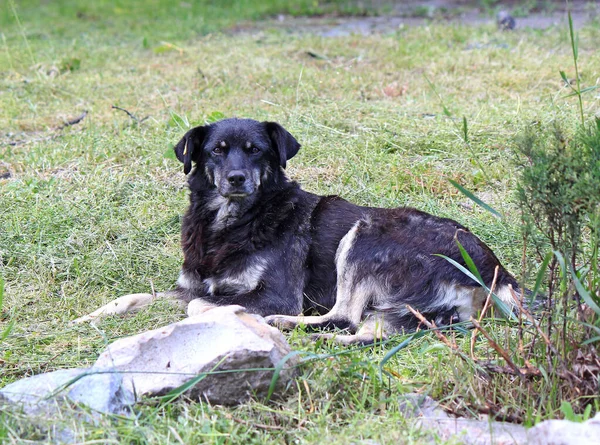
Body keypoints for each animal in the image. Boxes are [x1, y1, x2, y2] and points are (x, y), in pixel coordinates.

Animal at [76, 118, 520, 344]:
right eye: (217, 150)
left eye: (255, 150)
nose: (236, 178)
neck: (233, 222)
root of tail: (499, 275)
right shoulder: (193, 283)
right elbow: (133, 297)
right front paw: (88, 317)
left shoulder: (277, 293)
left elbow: (198, 307)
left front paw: (232, 315)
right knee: (365, 330)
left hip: (364, 235)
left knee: (345, 318)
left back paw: (280, 324)